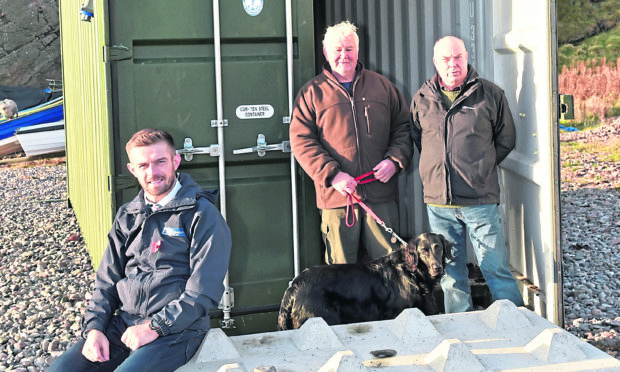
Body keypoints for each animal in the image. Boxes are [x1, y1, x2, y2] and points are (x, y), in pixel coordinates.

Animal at [276, 234, 450, 330]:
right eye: (424, 251)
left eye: (438, 247)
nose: (437, 268)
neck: (412, 272)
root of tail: (295, 285)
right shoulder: (394, 312)